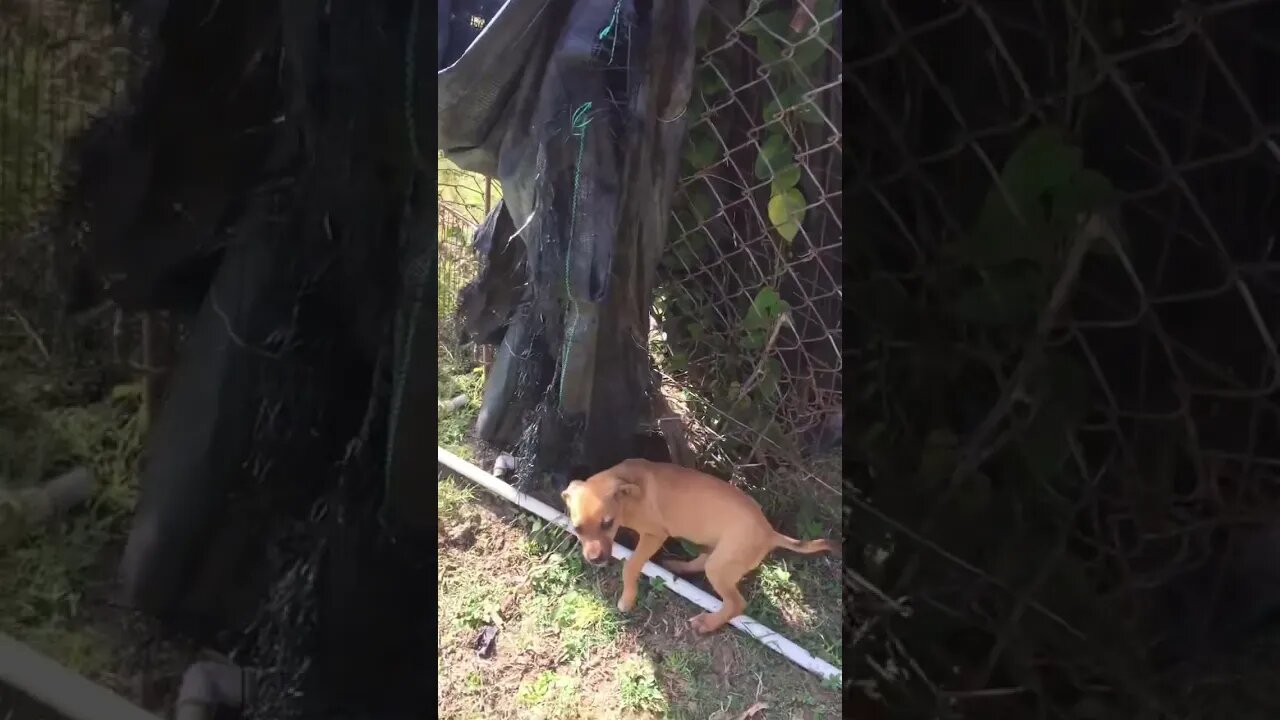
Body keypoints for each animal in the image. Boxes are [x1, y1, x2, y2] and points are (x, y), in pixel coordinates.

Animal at [563, 456, 839, 630]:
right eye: (578, 529)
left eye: (607, 524)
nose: (595, 559)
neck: (628, 493)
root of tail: (770, 533)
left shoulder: (654, 535)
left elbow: (630, 566)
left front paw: (627, 599)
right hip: (715, 550)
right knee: (703, 561)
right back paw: (678, 566)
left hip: (721, 565)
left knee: (736, 603)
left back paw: (707, 624)